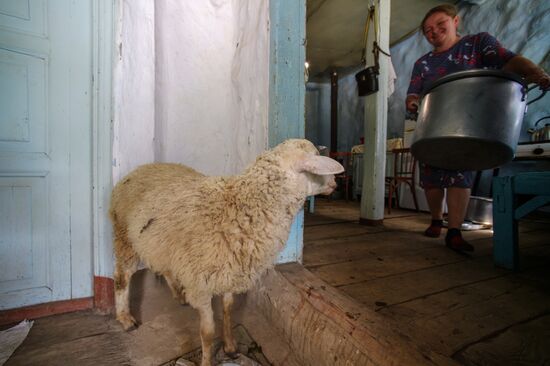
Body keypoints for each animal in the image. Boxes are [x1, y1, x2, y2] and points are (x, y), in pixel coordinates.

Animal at [109, 138, 344, 366]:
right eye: (316, 158)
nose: (335, 183)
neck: (240, 207)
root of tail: (141, 168)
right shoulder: (201, 284)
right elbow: (207, 332)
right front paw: (207, 360)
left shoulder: (232, 273)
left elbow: (228, 310)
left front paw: (230, 346)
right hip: (124, 236)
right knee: (122, 278)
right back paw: (125, 318)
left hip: (162, 244)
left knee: (166, 268)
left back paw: (178, 294)